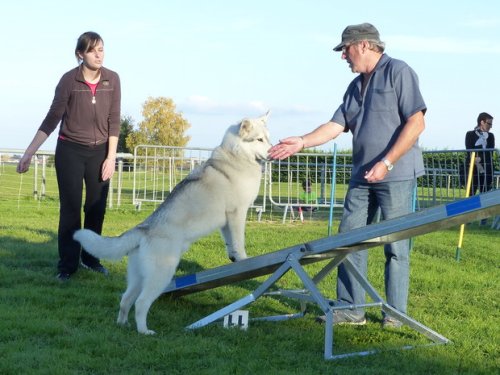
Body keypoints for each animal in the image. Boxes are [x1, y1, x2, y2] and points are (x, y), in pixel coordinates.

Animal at [72, 111, 272, 334]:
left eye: (268, 138)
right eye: (259, 140)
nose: (273, 152)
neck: (236, 157)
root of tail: (143, 228)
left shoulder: (226, 222)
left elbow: (230, 243)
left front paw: (234, 258)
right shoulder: (237, 214)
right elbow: (239, 241)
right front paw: (244, 259)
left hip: (138, 278)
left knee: (125, 300)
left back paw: (123, 325)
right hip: (162, 274)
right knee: (141, 303)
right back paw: (144, 331)